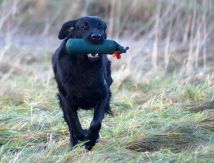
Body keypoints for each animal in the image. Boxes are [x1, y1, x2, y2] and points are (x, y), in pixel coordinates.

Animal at [51, 16, 113, 150]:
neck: (85, 67)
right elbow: (74, 124)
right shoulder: (66, 100)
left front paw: (91, 139)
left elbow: (96, 123)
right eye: (84, 26)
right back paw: (73, 144)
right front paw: (83, 137)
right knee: (70, 126)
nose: (96, 37)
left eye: (101, 27)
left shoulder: (103, 95)